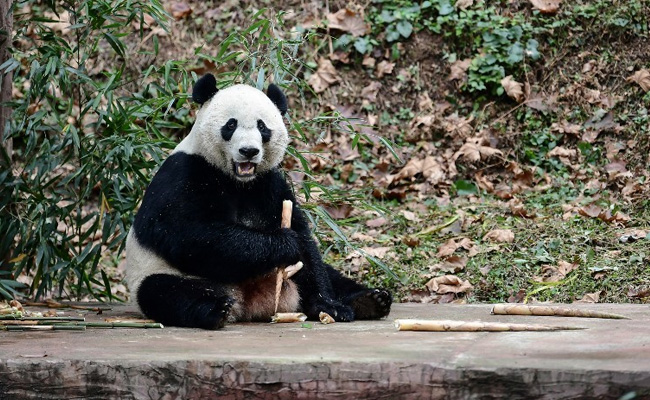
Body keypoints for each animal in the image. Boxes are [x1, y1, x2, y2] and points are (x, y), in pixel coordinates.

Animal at [125, 73, 392, 329]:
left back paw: (368, 300)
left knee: (328, 274)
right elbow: (186, 233)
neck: (238, 181)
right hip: (161, 274)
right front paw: (284, 243)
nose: (249, 151)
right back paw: (214, 310)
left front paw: (329, 305)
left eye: (262, 127)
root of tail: (246, 303)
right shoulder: (184, 174)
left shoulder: (269, 184)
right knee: (165, 293)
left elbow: (306, 244)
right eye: (231, 124)